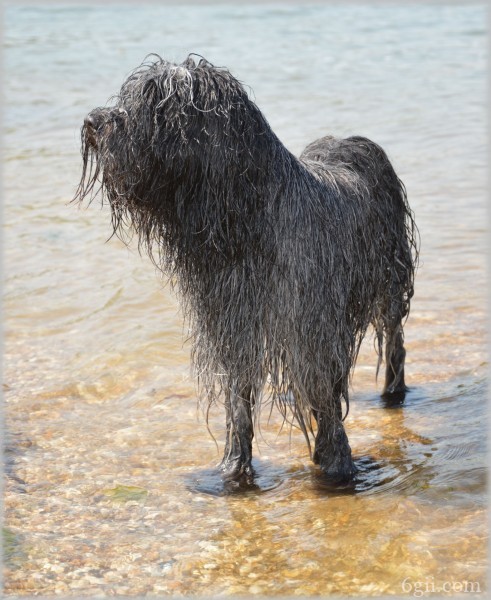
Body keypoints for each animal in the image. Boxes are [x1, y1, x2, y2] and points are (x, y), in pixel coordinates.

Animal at [75, 55, 420, 482]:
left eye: (157, 104)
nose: (92, 121)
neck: (246, 224)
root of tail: (351, 140)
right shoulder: (232, 325)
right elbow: (238, 403)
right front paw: (234, 469)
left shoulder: (310, 324)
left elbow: (323, 393)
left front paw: (336, 465)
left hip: (389, 278)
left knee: (394, 338)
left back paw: (393, 391)